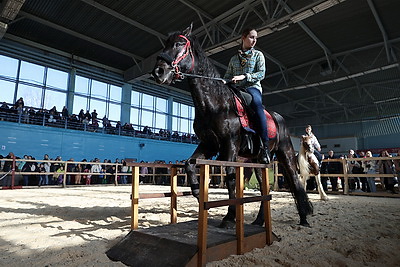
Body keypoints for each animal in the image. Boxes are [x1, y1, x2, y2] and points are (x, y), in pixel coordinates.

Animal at [152, 24, 310, 226]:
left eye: (179, 44)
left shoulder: (231, 144)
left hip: (286, 154)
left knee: (295, 181)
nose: (158, 71)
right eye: (166, 44)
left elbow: (230, 177)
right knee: (264, 188)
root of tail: (279, 119)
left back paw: (304, 218)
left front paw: (230, 216)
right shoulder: (209, 144)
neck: (216, 105)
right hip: (257, 161)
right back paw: (259, 220)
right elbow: (189, 165)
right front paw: (197, 193)